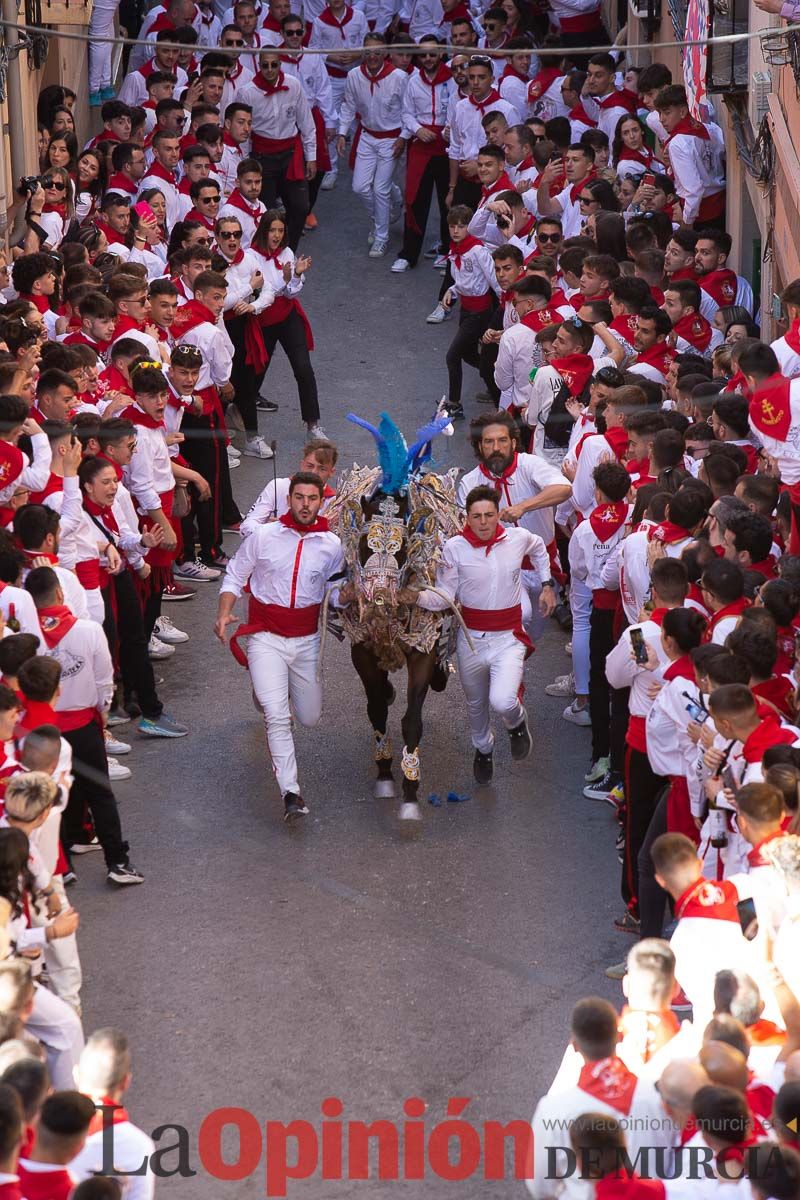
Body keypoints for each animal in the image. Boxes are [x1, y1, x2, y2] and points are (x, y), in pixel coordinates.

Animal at [321, 415, 465, 825]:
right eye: (364, 542)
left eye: (400, 550)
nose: (378, 599)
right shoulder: (362, 648)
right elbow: (376, 707)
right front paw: (385, 772)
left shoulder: (423, 647)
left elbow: (411, 719)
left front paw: (410, 790)